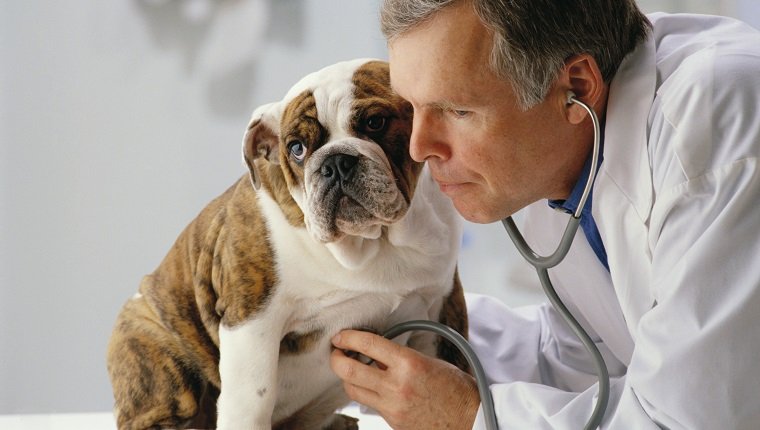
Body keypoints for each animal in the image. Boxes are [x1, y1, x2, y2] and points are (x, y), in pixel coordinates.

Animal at [104, 58, 466, 430]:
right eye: (296, 149)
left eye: (375, 123)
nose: (335, 162)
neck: (371, 243)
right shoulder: (252, 323)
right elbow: (253, 402)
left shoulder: (440, 308)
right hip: (156, 354)